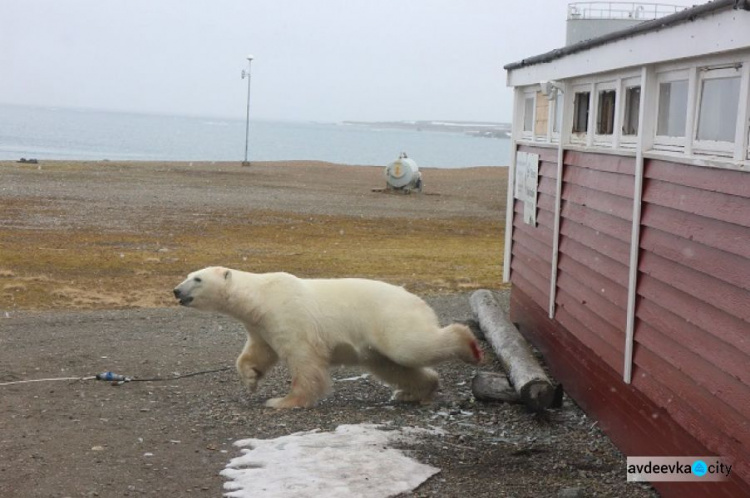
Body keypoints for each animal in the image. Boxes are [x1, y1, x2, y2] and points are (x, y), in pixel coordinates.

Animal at [173, 268, 484, 408]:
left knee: (409, 348)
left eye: (197, 279)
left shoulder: (290, 316)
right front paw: (250, 379)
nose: (176, 290)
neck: (261, 297)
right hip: (373, 346)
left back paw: (470, 345)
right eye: (188, 275)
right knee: (391, 366)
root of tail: (418, 300)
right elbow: (258, 352)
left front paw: (284, 401)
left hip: (389, 318)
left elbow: (304, 360)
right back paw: (411, 392)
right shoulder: (262, 325)